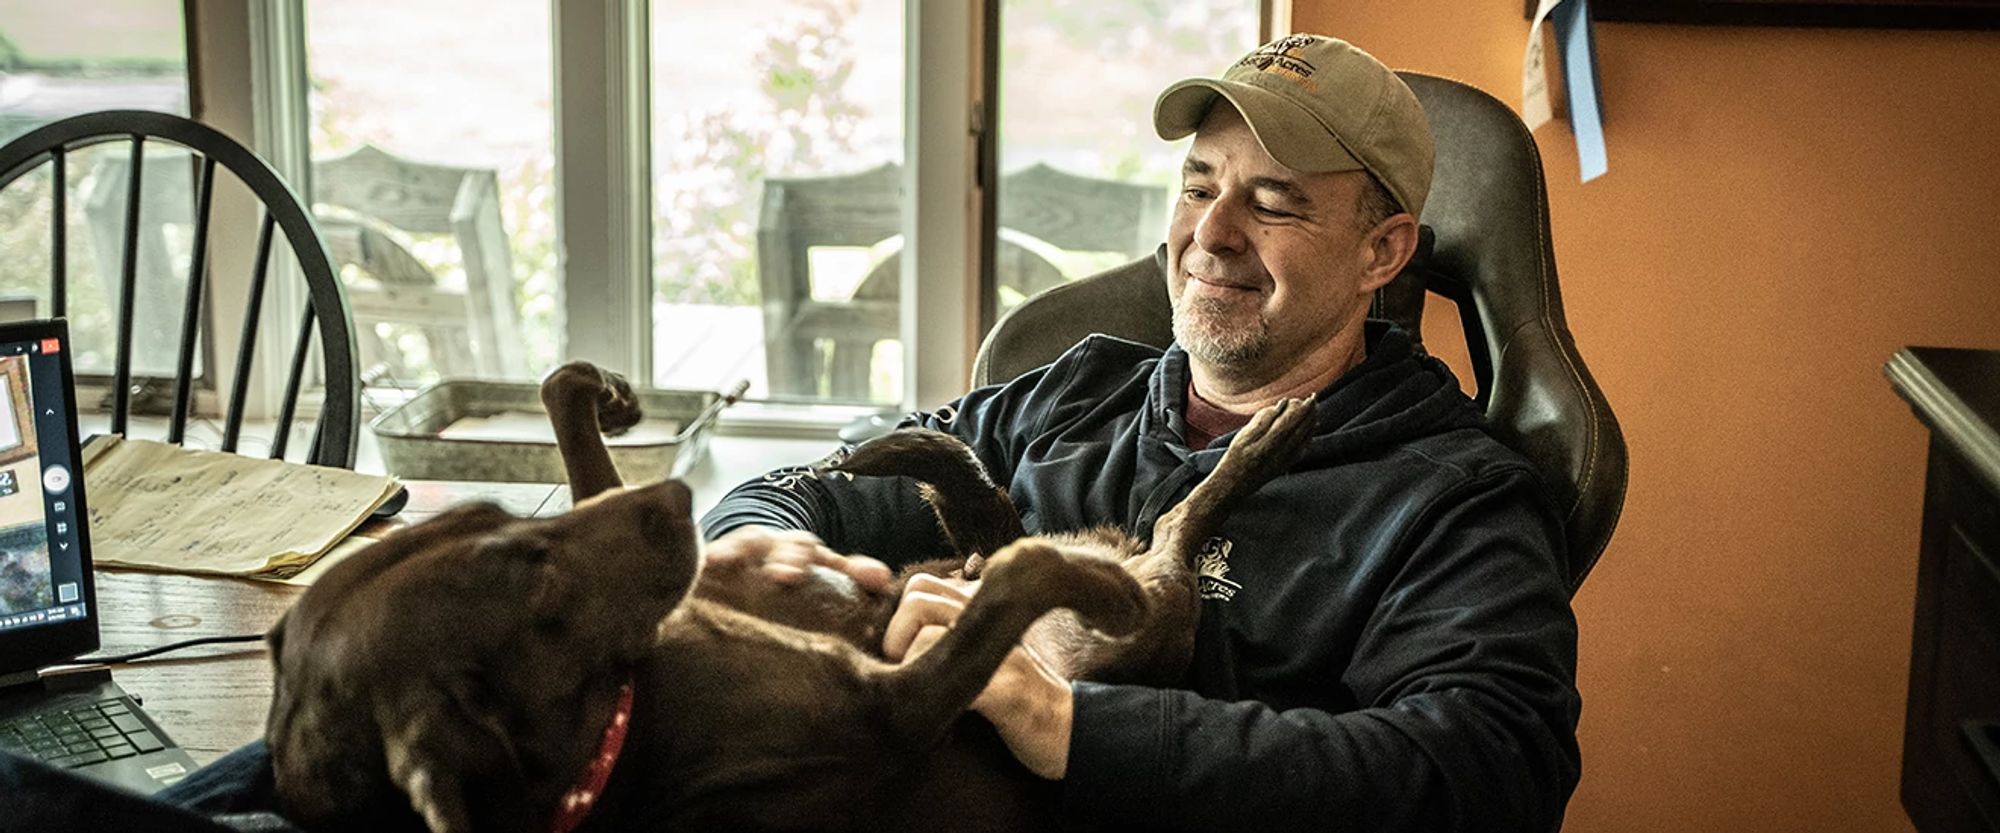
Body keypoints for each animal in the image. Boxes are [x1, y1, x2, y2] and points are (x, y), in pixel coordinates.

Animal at [270, 360, 1312, 828]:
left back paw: (897, 448)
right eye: (524, 571)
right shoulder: (896, 703)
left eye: (494, 520)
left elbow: (571, 419)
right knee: (1149, 532)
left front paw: (603, 392)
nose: (677, 501)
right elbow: (1018, 582)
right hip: (1147, 608)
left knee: (989, 513)